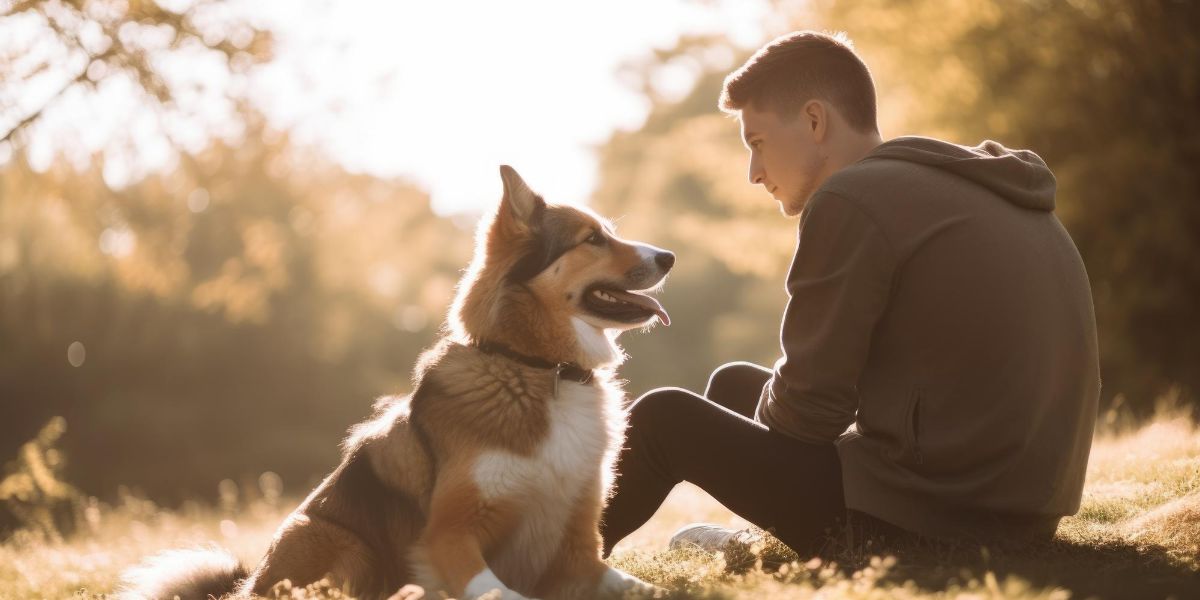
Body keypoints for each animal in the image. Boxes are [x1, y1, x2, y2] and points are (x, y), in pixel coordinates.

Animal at [126, 165, 681, 600]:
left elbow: (643, 587)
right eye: (593, 239)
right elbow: (499, 591)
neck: (538, 369)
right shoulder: (447, 536)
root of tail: (245, 588)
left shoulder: (576, 549)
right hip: (338, 541)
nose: (670, 257)